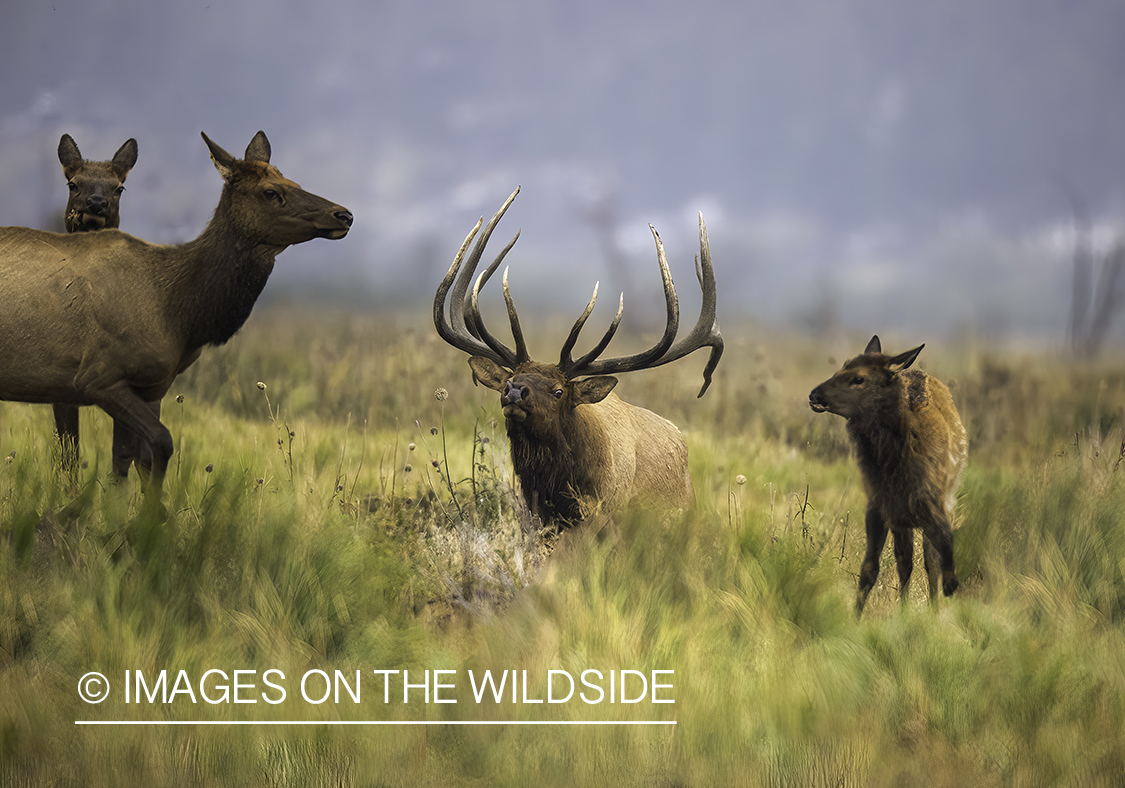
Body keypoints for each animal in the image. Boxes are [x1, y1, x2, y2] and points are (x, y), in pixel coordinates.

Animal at [810, 333, 967, 616]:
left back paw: (932, 606)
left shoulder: (932, 501)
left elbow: (940, 550)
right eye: (841, 367)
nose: (814, 394)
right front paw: (856, 616)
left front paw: (947, 590)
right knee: (905, 563)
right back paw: (904, 608)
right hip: (900, 518)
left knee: (927, 561)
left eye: (858, 379)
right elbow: (870, 568)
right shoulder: (880, 505)